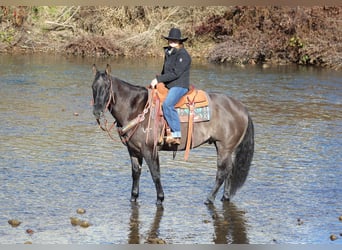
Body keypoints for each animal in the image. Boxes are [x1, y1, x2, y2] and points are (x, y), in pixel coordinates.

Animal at [91, 64, 254, 205]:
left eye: (107, 87)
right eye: (93, 87)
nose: (97, 111)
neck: (137, 108)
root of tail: (241, 107)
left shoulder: (149, 150)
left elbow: (155, 174)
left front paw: (160, 198)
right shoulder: (133, 150)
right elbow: (136, 173)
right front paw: (133, 197)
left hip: (224, 147)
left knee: (222, 172)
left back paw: (209, 198)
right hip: (226, 148)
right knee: (229, 171)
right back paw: (225, 197)